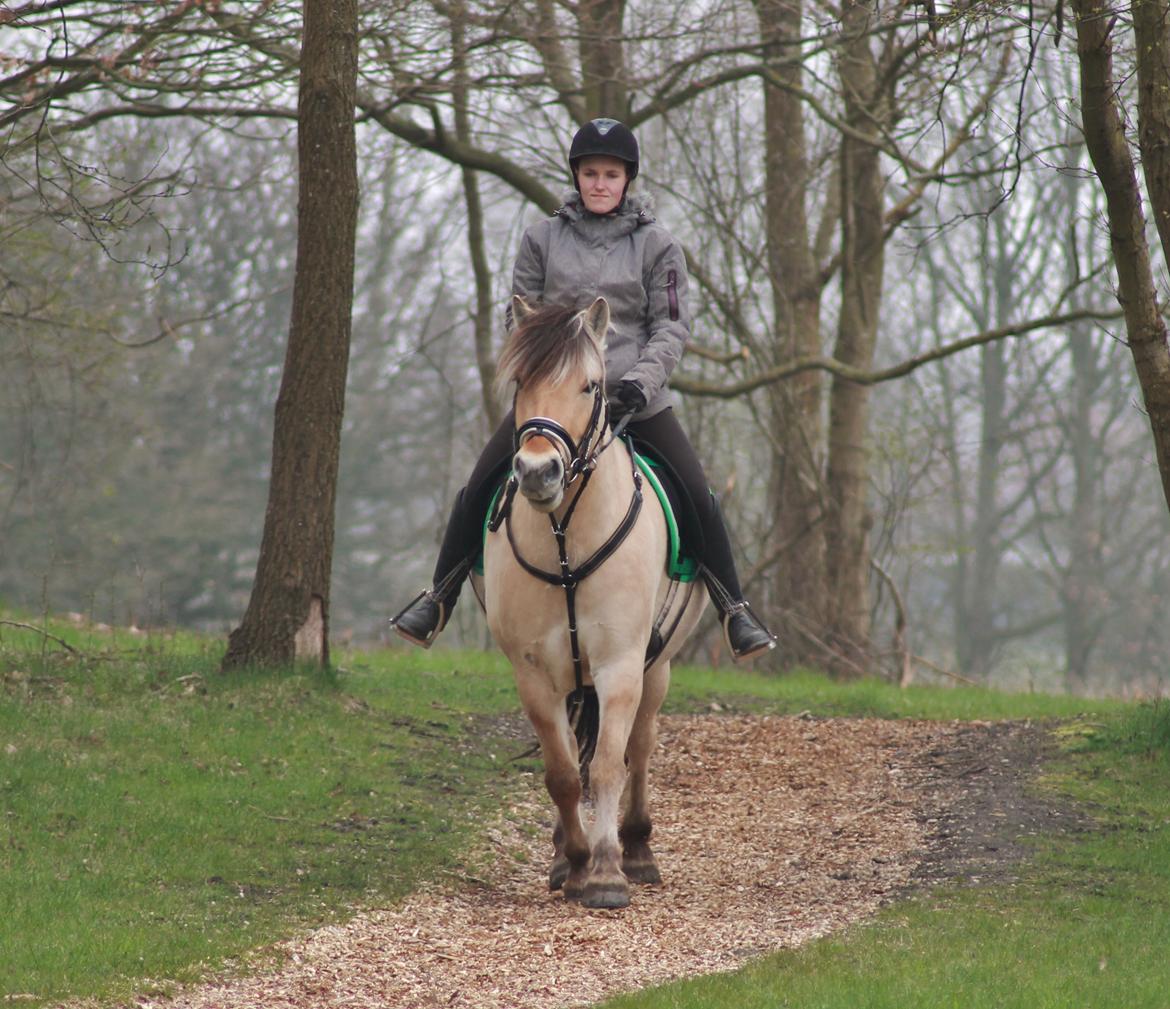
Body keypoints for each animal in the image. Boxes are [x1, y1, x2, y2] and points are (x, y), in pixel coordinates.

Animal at [472, 296, 702, 913]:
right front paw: (574, 862)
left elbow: (606, 768)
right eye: (521, 380)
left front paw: (605, 873)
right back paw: (564, 853)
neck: (565, 540)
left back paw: (637, 850)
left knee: (640, 749)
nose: (537, 472)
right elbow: (562, 774)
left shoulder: (620, 664)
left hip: (657, 665)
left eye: (591, 386)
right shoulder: (534, 672)